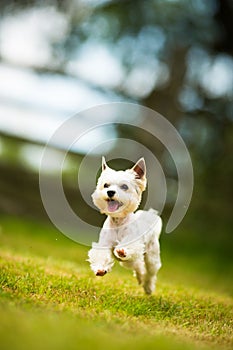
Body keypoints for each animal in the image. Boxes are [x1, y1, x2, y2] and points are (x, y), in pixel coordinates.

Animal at [87, 157, 162, 294]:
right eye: (106, 185)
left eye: (124, 186)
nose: (110, 192)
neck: (118, 221)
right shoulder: (104, 244)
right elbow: (101, 255)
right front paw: (100, 269)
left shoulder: (134, 242)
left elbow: (129, 246)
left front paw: (122, 250)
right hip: (130, 261)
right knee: (138, 266)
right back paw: (140, 277)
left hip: (152, 256)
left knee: (149, 271)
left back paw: (148, 287)